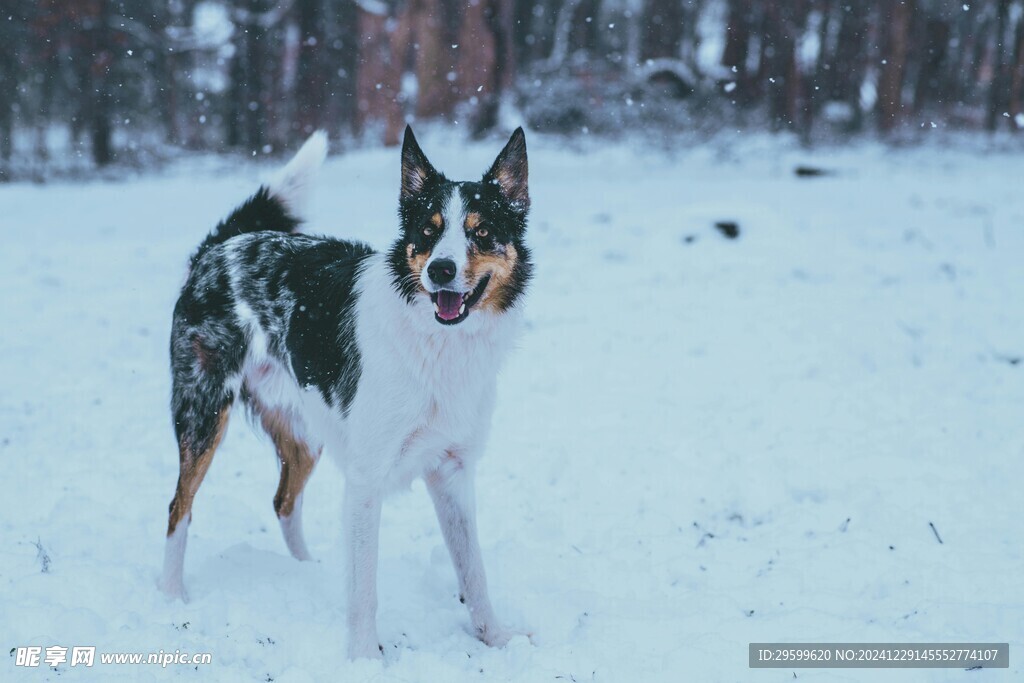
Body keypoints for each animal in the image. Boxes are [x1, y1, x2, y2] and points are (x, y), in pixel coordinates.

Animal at [157, 125, 536, 659]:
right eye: (428, 231)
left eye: (481, 232)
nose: (440, 270)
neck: (436, 342)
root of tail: (221, 247)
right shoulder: (365, 478)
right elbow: (364, 590)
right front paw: (363, 658)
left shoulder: (453, 471)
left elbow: (474, 572)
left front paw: (496, 638)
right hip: (204, 411)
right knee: (179, 506)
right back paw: (172, 597)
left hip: (306, 431)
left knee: (283, 501)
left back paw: (304, 572)